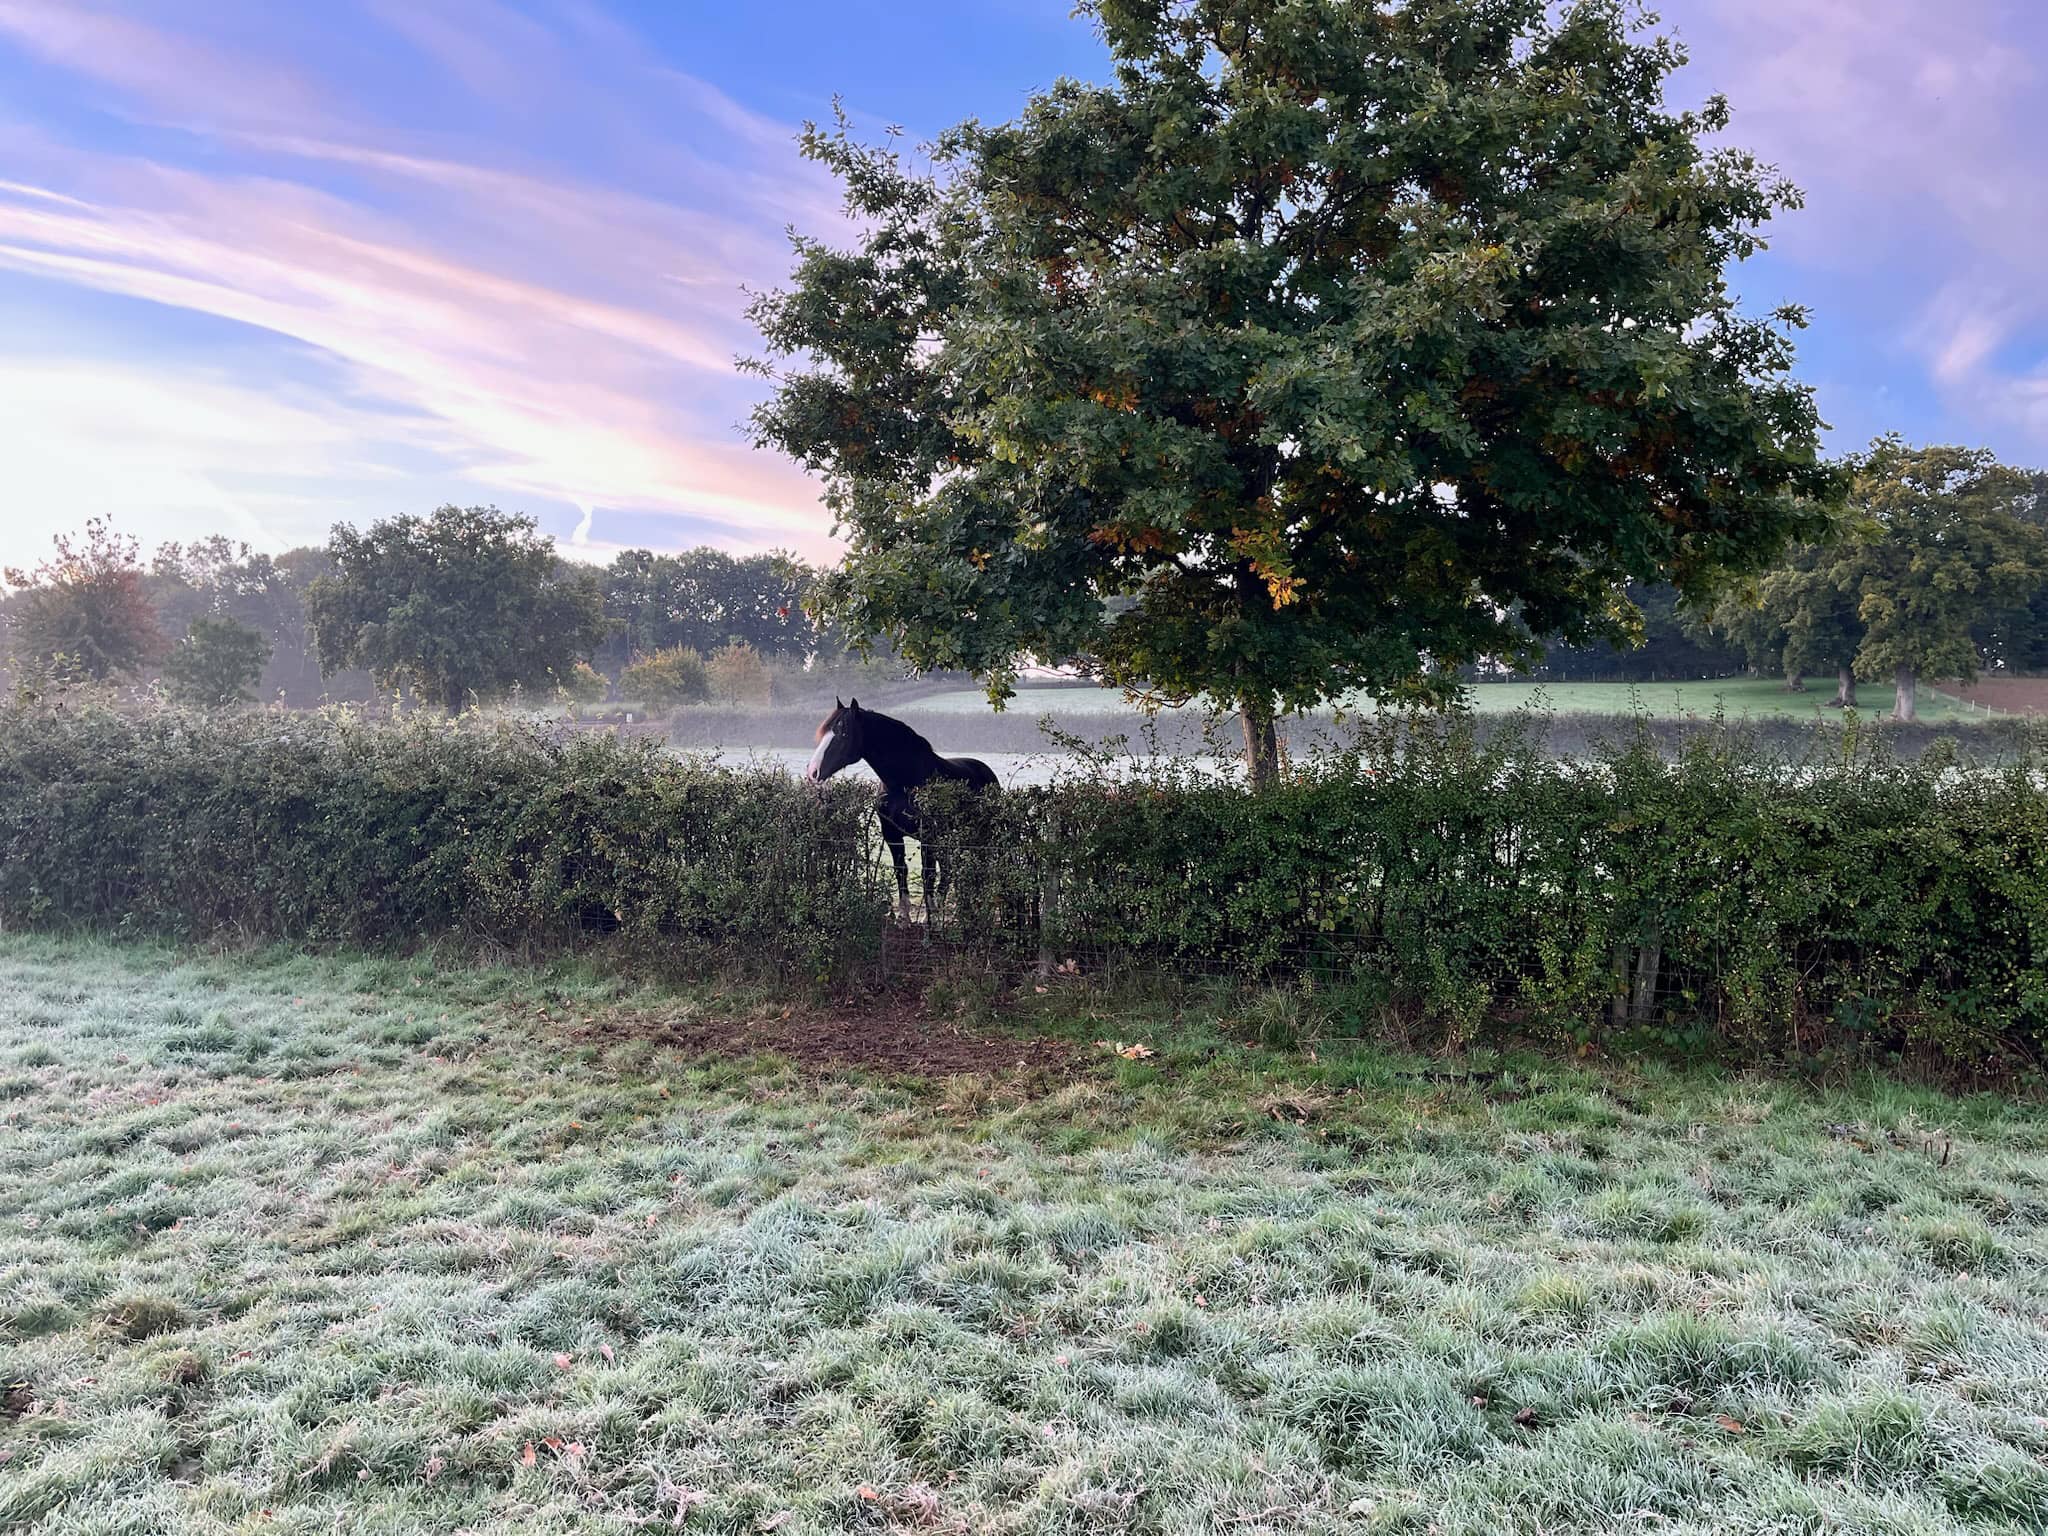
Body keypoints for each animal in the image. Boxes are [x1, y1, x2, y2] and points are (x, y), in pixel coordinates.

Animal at [805, 698, 1000, 919]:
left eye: (844, 734)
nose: (813, 772)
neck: (904, 781)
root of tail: (987, 772)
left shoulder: (928, 836)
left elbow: (927, 874)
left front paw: (929, 918)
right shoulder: (892, 834)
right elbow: (901, 869)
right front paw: (904, 916)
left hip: (980, 835)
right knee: (950, 871)